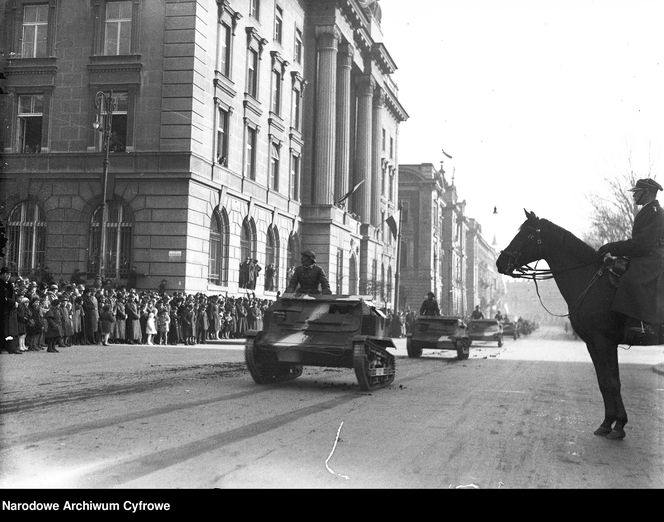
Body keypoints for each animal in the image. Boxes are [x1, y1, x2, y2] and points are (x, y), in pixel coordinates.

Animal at [498, 207, 628, 438]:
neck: (592, 282)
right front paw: (607, 422)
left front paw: (619, 425)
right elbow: (604, 382)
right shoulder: (593, 343)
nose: (500, 262)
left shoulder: (605, 341)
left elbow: (613, 382)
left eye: (527, 235)